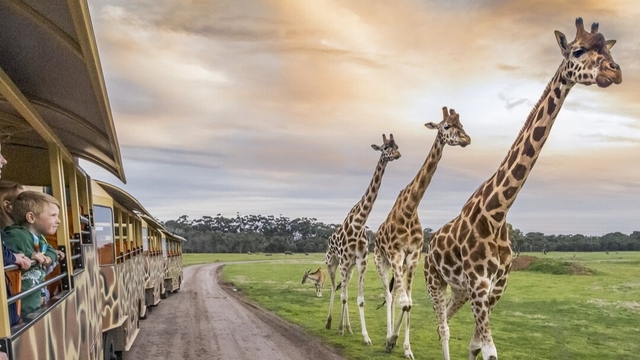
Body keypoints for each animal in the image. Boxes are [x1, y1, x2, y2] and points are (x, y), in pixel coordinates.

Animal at [324, 132, 400, 344]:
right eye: (385, 148)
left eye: (397, 146)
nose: (397, 155)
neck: (358, 223)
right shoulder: (343, 261)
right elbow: (343, 296)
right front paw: (340, 329)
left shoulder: (361, 261)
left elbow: (359, 298)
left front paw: (365, 336)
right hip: (332, 263)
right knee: (334, 288)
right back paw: (331, 323)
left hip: (348, 268)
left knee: (344, 289)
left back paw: (348, 327)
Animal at [376, 107, 470, 360]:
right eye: (446, 126)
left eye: (462, 124)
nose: (466, 139)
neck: (410, 208)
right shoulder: (396, 254)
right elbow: (403, 301)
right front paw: (391, 340)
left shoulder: (414, 255)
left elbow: (408, 301)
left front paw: (406, 348)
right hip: (380, 260)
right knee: (388, 295)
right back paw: (387, 337)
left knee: (396, 293)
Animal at [422, 16, 624, 360]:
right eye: (579, 50)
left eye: (608, 50)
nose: (615, 71)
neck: (498, 212)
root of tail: (430, 242)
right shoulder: (479, 284)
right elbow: (488, 349)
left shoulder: (496, 286)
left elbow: (476, 345)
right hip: (434, 278)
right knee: (441, 324)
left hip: (459, 289)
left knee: (445, 318)